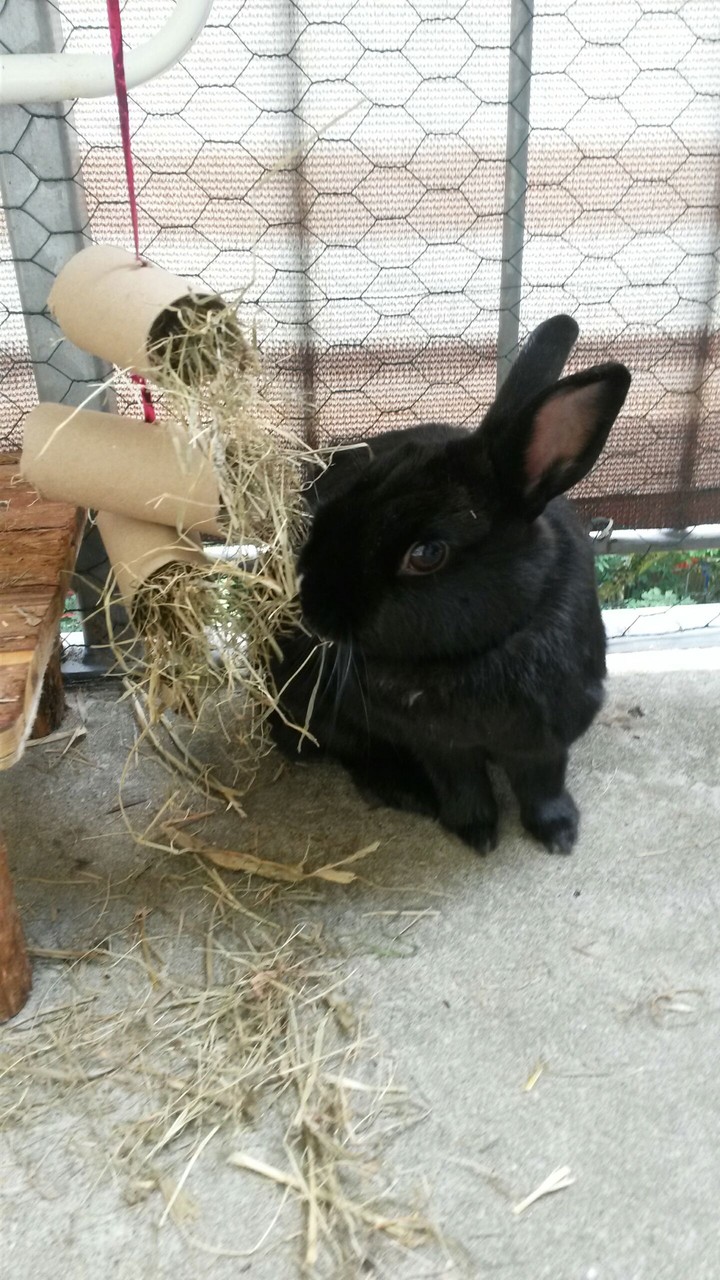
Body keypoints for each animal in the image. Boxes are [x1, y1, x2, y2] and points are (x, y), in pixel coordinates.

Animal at [270, 315, 631, 855]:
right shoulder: (438, 744)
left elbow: (543, 785)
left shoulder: (545, 737)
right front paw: (477, 835)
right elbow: (462, 785)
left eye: (426, 555)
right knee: (339, 748)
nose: (313, 611)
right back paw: (404, 790)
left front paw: (559, 835)